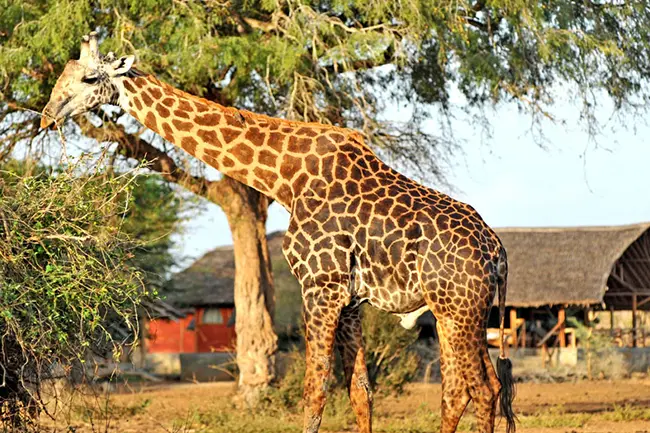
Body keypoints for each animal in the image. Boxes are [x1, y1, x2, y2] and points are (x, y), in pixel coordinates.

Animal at [41, 33, 516, 432]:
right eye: (61, 76)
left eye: (88, 78)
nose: (46, 117)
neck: (285, 178)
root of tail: (498, 253)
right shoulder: (350, 299)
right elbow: (360, 391)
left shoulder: (321, 286)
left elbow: (314, 392)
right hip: (462, 312)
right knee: (472, 389)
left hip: (457, 310)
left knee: (476, 389)